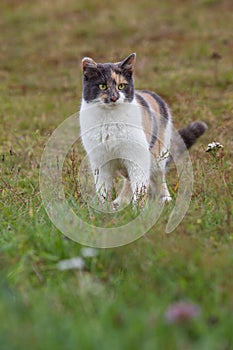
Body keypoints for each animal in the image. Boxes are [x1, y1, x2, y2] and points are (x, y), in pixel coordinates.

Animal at [79, 53, 207, 208]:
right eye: (102, 86)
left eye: (121, 86)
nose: (114, 97)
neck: (109, 120)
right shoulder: (100, 161)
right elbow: (102, 189)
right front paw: (102, 209)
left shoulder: (137, 156)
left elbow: (139, 185)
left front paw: (138, 209)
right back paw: (120, 202)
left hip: (157, 155)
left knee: (157, 176)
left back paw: (165, 199)